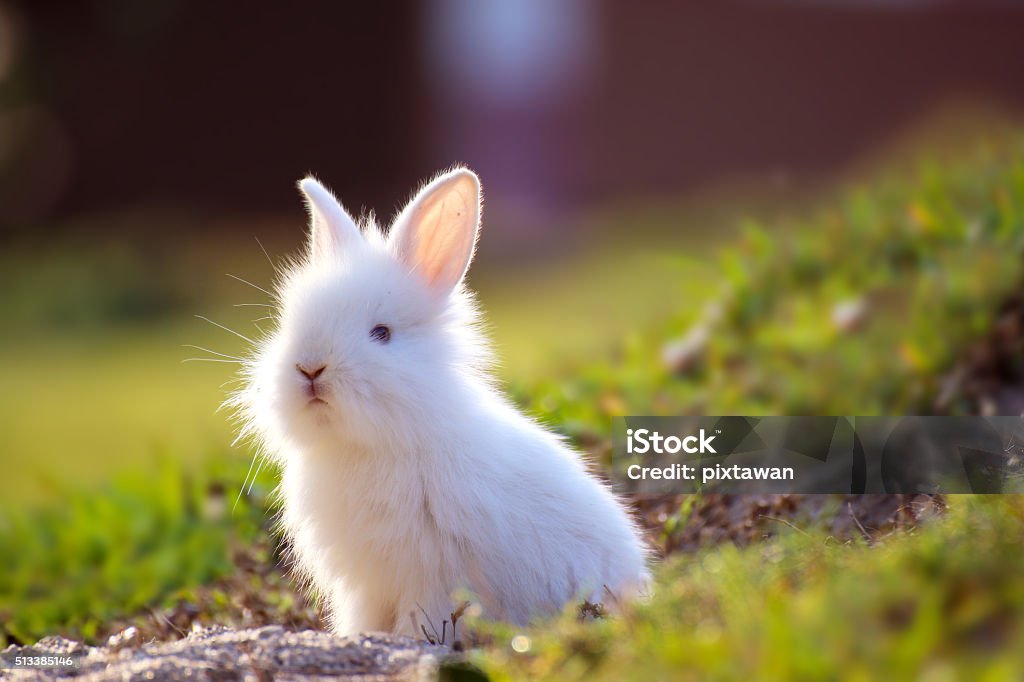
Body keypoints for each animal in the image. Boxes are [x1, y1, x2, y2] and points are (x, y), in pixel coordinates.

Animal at [232, 166, 647, 634]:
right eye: (289, 325)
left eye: (381, 333)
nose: (309, 368)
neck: (372, 443)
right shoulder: (366, 588)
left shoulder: (432, 576)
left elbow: (423, 620)